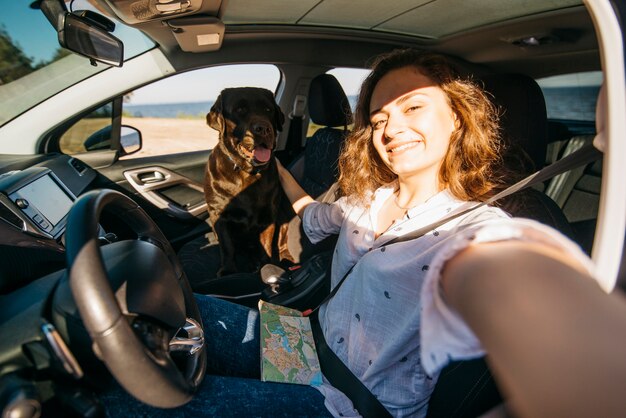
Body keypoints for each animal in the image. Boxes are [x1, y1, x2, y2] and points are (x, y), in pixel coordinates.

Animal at [204, 88, 294, 276]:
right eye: (240, 110)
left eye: (268, 110)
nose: (263, 128)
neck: (247, 172)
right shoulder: (218, 213)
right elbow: (227, 246)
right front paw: (228, 270)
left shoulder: (269, 214)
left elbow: (266, 244)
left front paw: (266, 264)